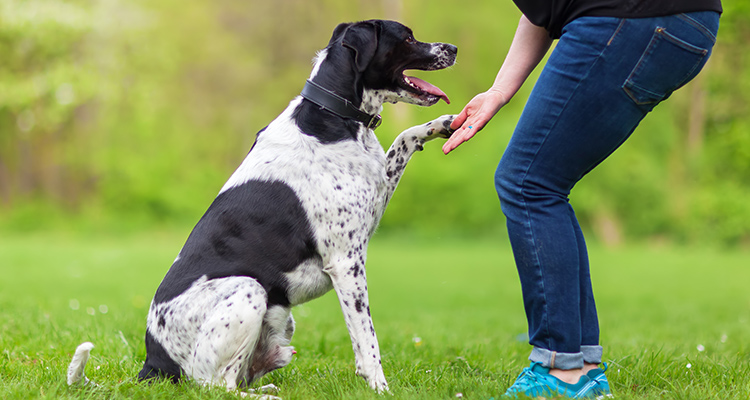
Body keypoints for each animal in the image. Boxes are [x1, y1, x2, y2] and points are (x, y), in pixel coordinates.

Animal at [67, 19, 458, 396]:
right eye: (407, 37)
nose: (453, 47)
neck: (333, 114)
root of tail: (153, 365)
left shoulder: (376, 193)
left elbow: (403, 138)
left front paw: (441, 126)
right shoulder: (346, 263)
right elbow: (367, 341)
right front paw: (380, 387)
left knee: (237, 379)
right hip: (249, 290)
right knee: (216, 386)